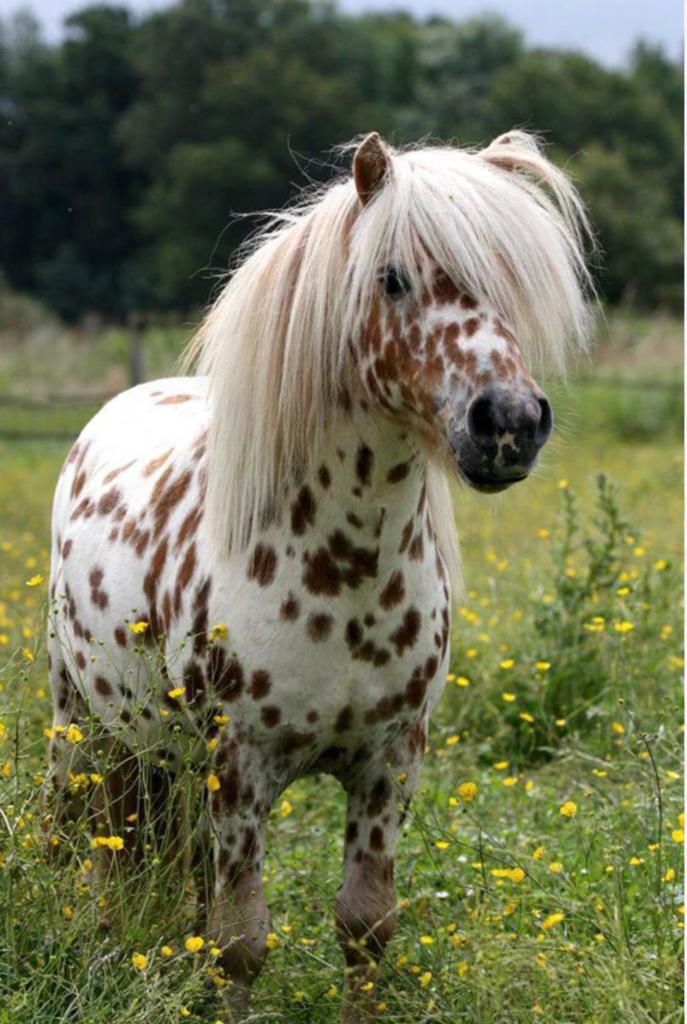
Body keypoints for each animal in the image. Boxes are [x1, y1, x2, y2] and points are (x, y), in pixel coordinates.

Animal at [45, 130, 591, 1021]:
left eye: (513, 279)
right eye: (392, 277)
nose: (508, 424)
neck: (344, 572)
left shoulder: (389, 763)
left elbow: (364, 926)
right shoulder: (239, 768)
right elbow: (239, 943)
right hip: (85, 725)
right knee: (88, 839)